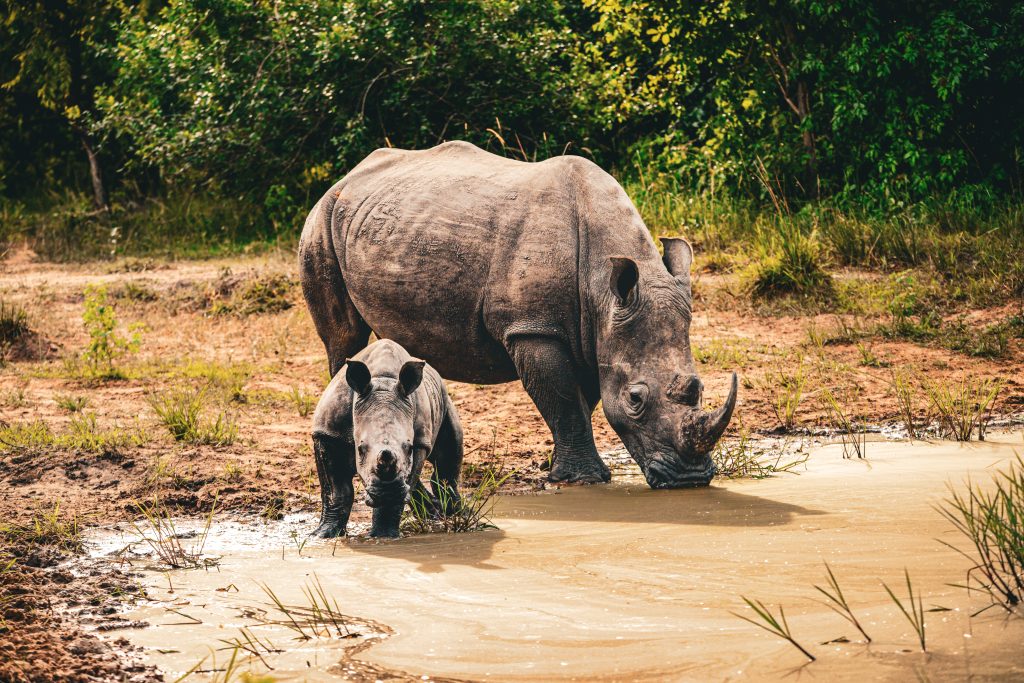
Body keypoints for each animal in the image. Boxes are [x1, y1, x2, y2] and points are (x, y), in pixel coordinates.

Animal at [300, 140, 737, 490]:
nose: (690, 479)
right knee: (344, 339)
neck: (603, 292)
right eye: (635, 399)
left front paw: (558, 470)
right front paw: (584, 480)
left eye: (699, 388)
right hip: (320, 222)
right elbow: (563, 397)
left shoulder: (592, 333)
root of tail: (346, 176)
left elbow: (582, 399)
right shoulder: (534, 327)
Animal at [311, 338, 463, 538]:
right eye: (360, 449)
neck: (382, 381)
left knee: (449, 454)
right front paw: (323, 535)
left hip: (443, 400)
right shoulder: (328, 433)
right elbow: (336, 492)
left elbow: (405, 484)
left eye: (409, 448)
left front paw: (384, 536)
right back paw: (437, 514)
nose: (387, 493)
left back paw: (454, 514)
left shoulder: (420, 442)